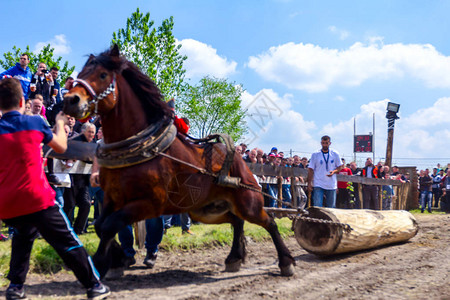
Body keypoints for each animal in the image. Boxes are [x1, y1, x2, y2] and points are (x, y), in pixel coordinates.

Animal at [63, 45, 296, 278]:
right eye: (80, 74)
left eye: (102, 75)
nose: (70, 100)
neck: (140, 147)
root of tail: (238, 158)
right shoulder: (112, 198)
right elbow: (101, 225)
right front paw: (118, 259)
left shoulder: (151, 203)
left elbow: (111, 225)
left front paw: (101, 264)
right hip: (206, 209)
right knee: (237, 221)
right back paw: (234, 258)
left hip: (248, 202)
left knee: (268, 222)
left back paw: (286, 262)